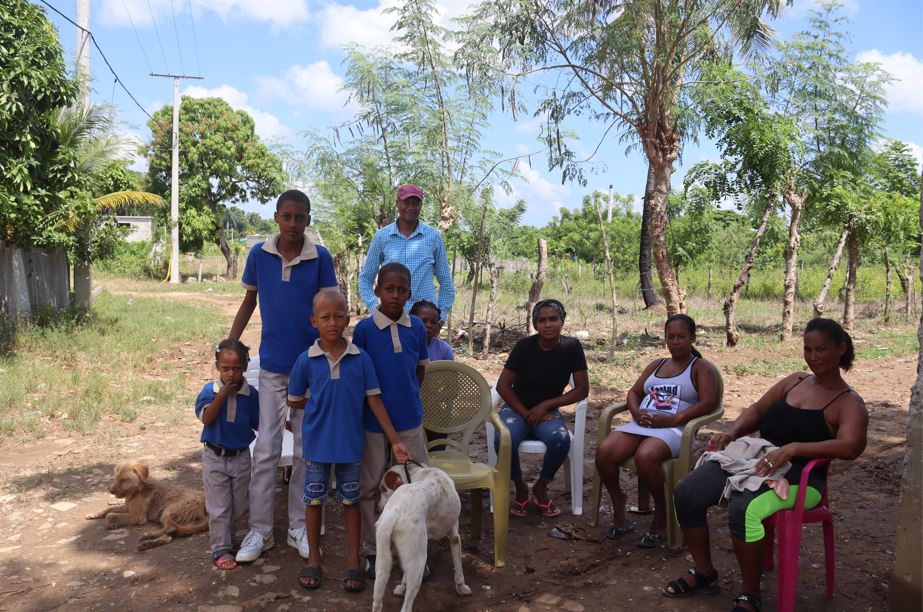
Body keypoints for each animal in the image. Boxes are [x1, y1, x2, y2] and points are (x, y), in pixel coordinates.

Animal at [372, 462, 471, 612]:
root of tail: (396, 512)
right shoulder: (455, 536)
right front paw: (462, 589)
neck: (417, 472)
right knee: (406, 607)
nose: (377, 509)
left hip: (383, 560)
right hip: (419, 562)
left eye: (383, 489)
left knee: (377, 601)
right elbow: (459, 569)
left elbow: (404, 577)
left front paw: (401, 589)